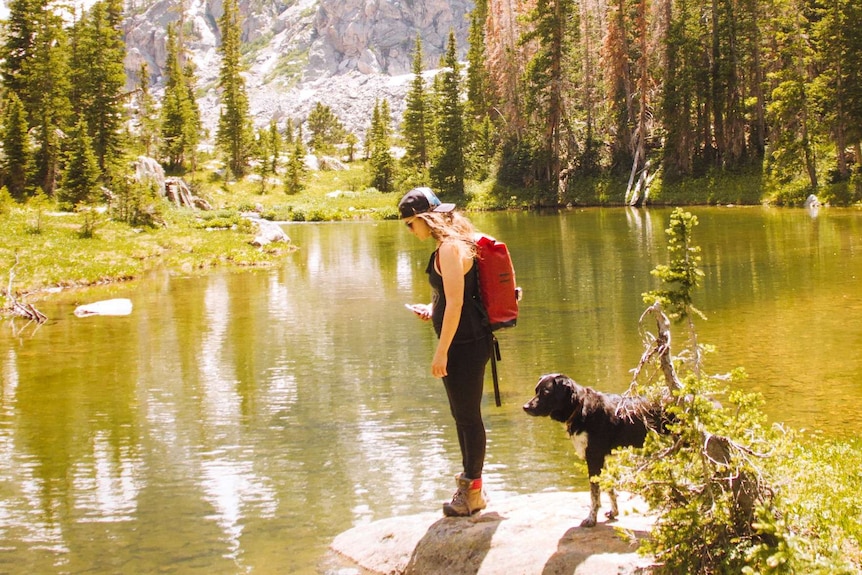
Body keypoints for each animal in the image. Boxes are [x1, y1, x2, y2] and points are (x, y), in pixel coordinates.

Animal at [524, 374, 664, 528]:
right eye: (536, 390)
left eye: (546, 392)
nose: (525, 407)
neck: (579, 408)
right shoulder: (603, 460)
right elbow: (609, 488)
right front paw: (614, 512)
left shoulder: (594, 458)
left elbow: (594, 494)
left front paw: (591, 519)